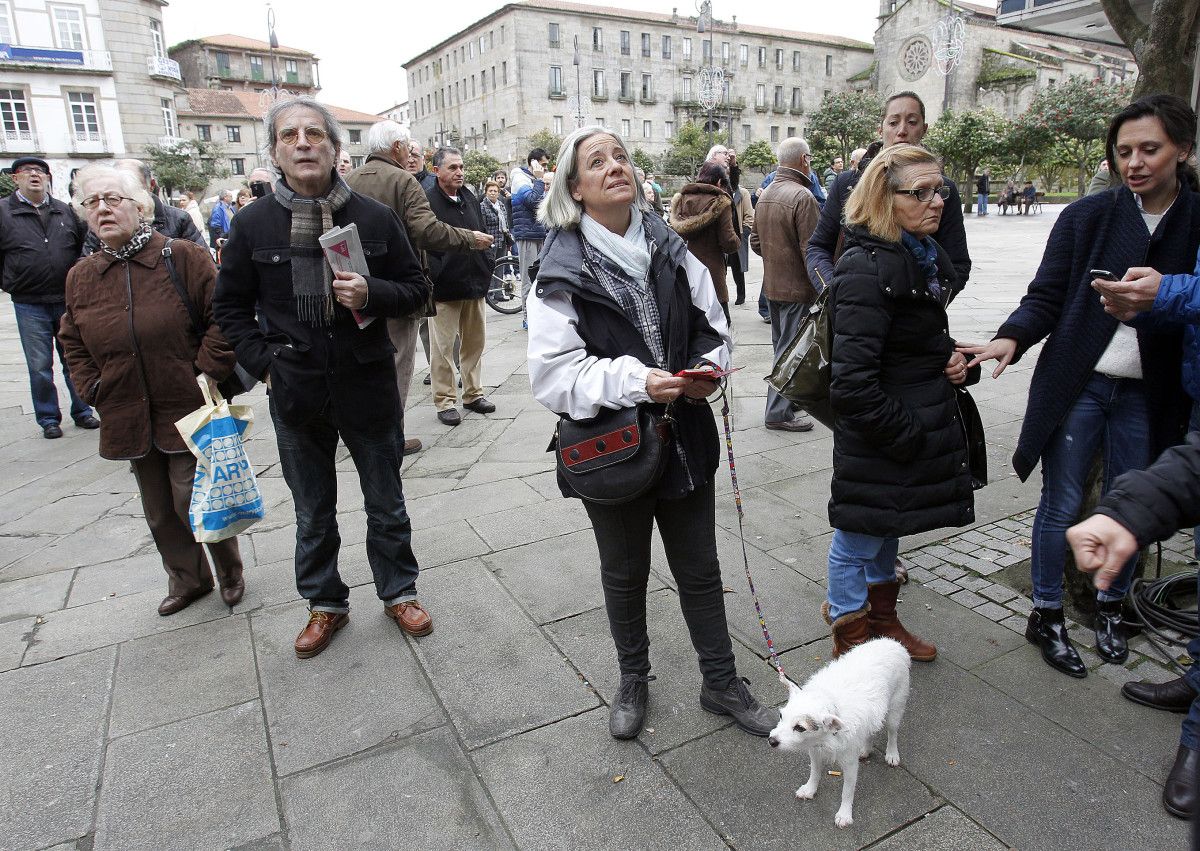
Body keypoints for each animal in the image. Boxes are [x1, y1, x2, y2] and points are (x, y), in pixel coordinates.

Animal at [768, 638, 907, 825]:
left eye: (800, 728)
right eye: (781, 715)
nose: (771, 741)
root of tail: (892, 642)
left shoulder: (850, 764)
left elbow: (847, 791)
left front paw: (844, 814)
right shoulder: (815, 751)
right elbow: (815, 772)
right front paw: (810, 789)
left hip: (895, 709)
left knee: (892, 733)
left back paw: (892, 754)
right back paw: (865, 749)